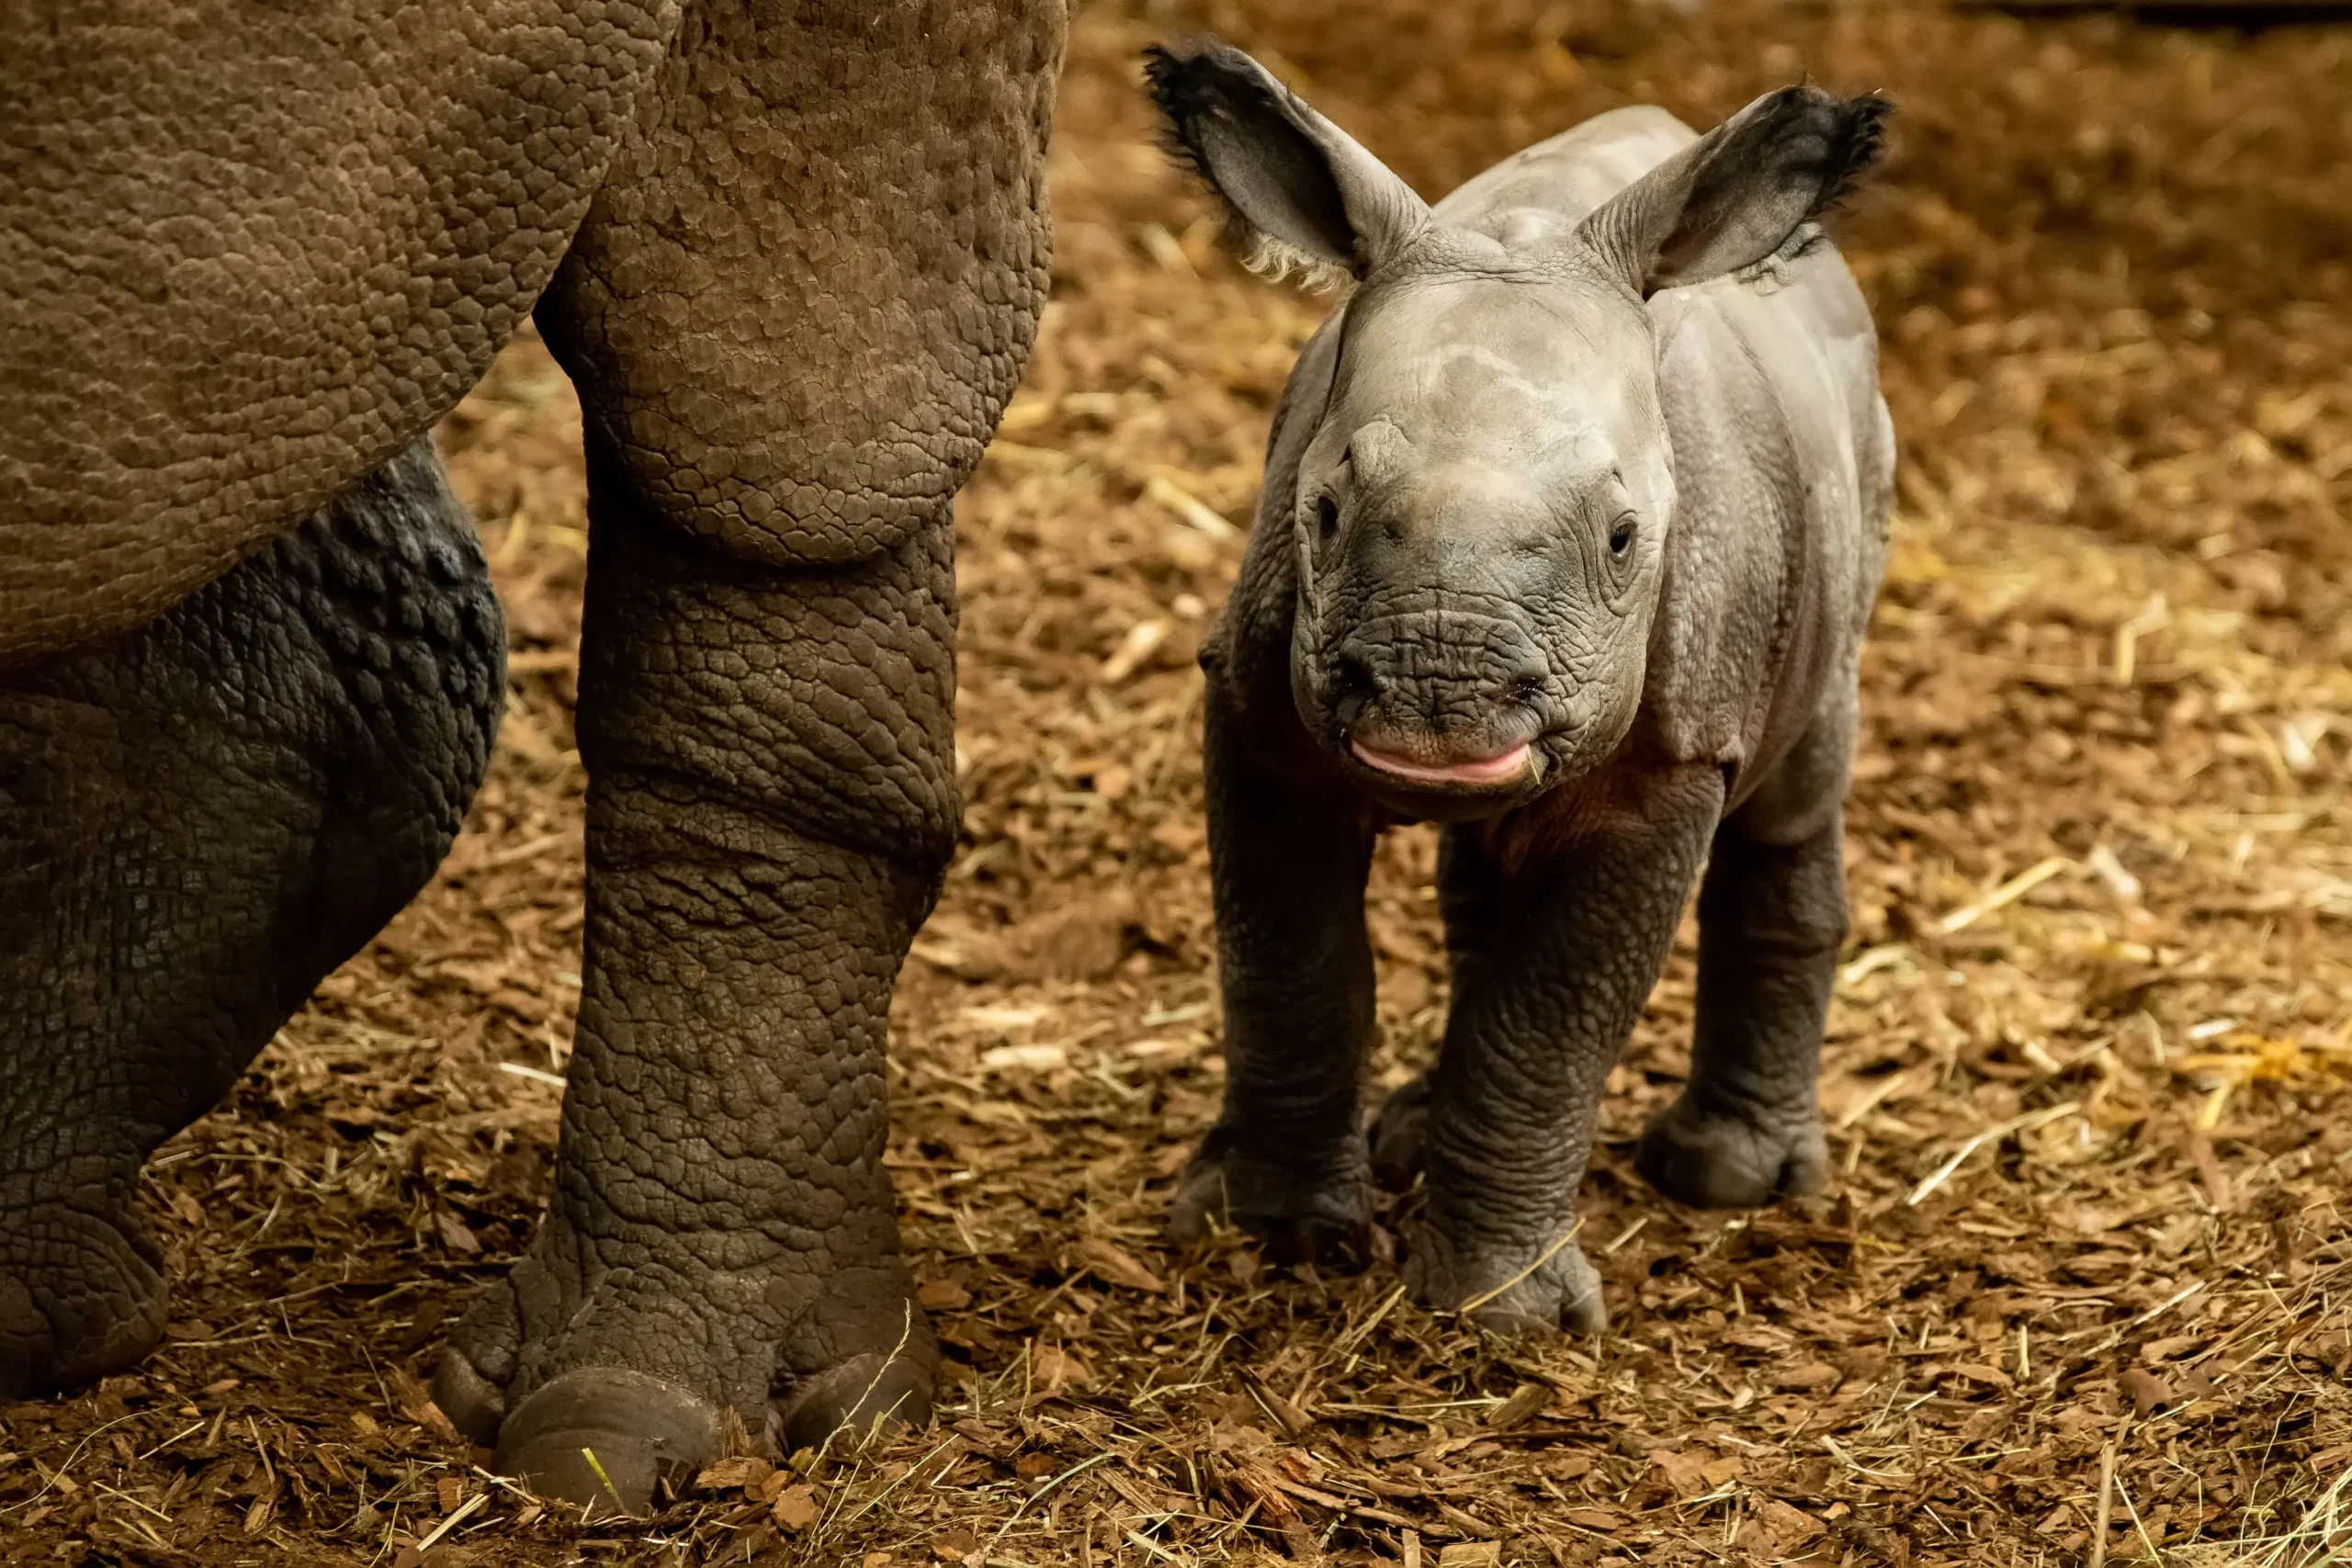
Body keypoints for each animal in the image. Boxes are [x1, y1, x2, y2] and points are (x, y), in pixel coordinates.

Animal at [1148, 42, 1900, 1335]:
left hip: (1853, 478)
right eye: (1322, 511)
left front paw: (1505, 1318)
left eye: (1623, 540)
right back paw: (1410, 1138)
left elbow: (1550, 1023)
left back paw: (1733, 1181)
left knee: (1802, 775)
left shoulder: (1670, 759)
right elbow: (1290, 963)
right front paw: (1274, 1234)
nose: (1436, 701)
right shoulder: (1253, 704)